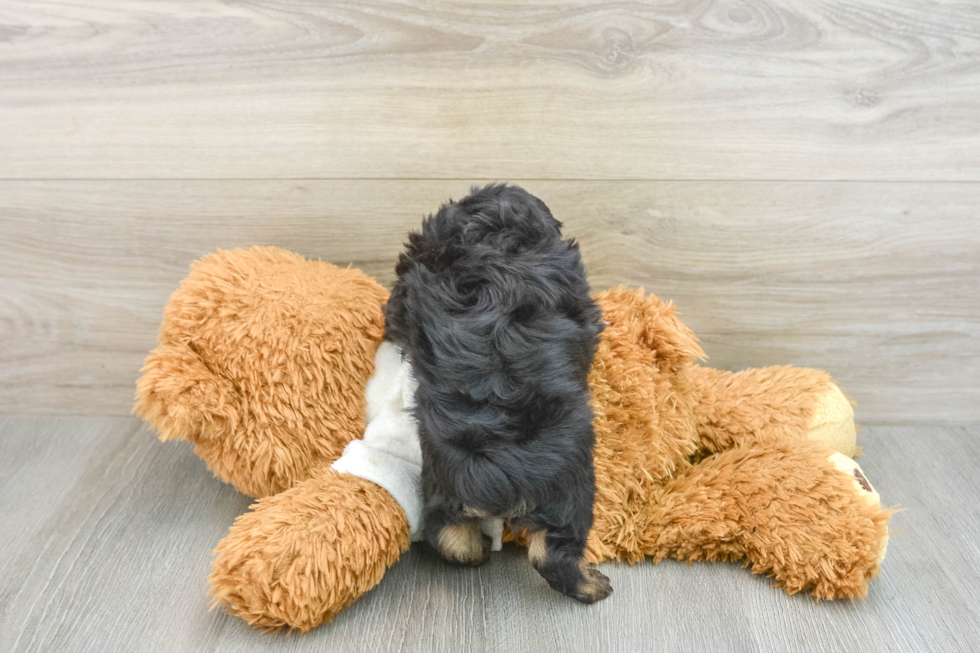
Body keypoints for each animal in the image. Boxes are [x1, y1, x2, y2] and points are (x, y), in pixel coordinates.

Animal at [384, 182, 608, 600]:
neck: (488, 241)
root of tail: (496, 471)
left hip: (441, 482)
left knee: (446, 533)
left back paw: (476, 553)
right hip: (570, 489)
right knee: (553, 552)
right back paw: (592, 585)